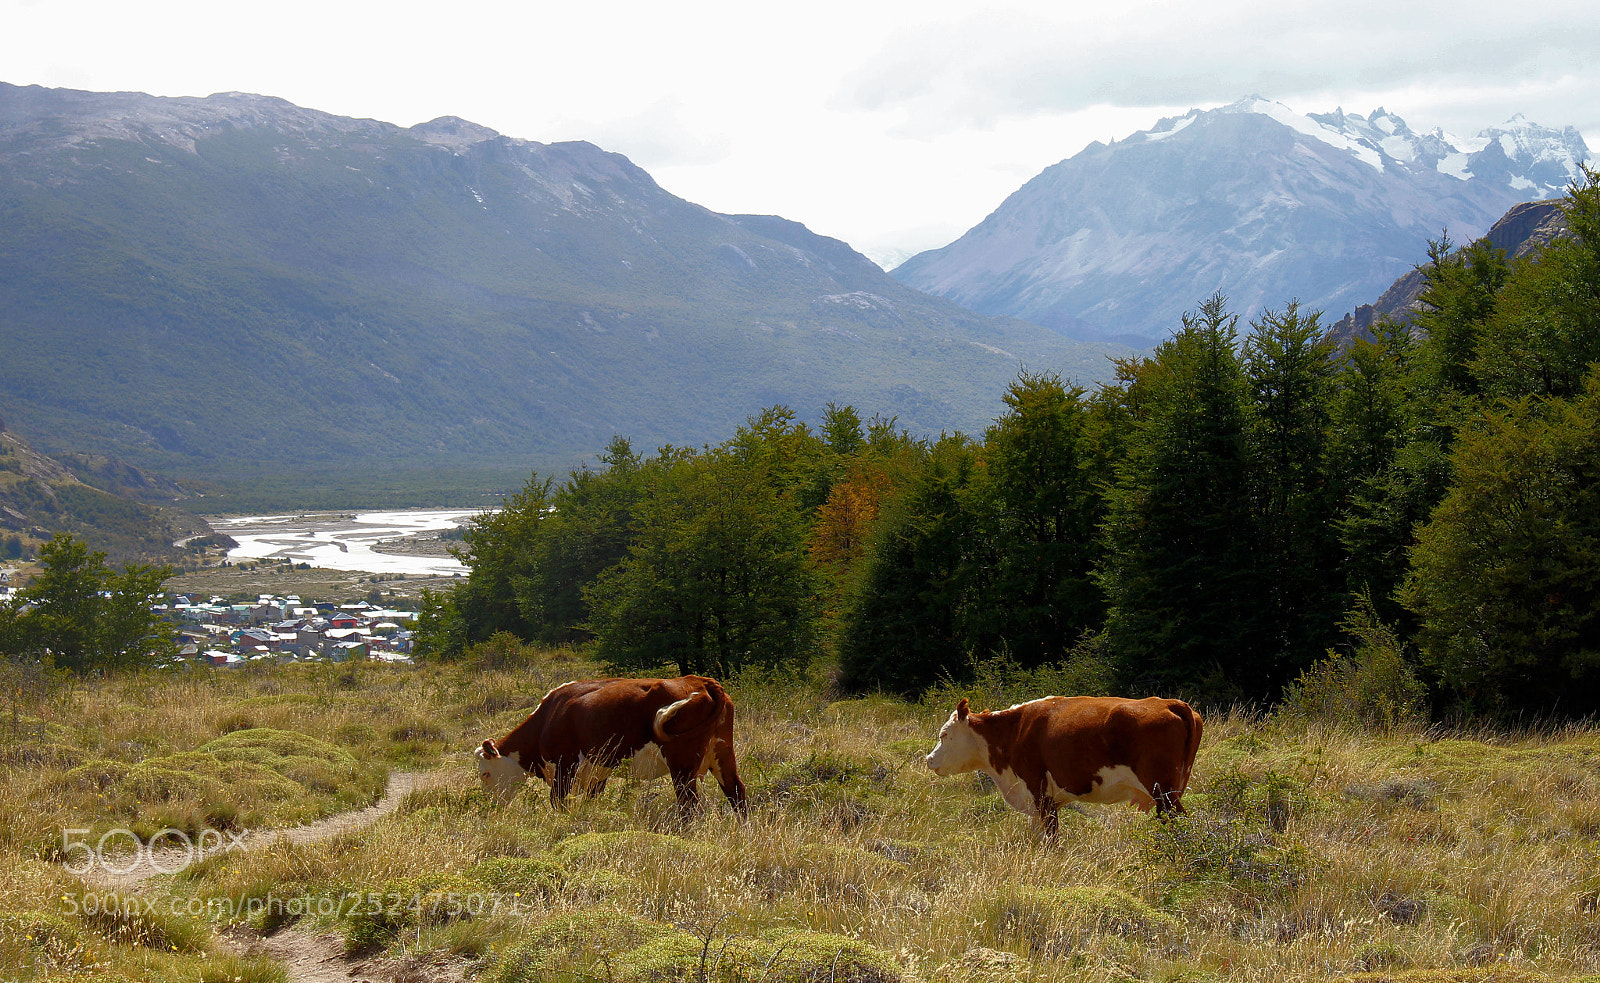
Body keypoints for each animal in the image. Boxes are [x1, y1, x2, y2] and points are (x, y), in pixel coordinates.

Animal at [473, 675, 747, 815]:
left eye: (485, 774)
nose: (490, 807)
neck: (549, 716)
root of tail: (701, 681)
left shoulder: (564, 768)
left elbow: (558, 802)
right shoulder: (598, 772)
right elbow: (591, 800)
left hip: (682, 765)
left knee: (688, 803)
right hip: (722, 753)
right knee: (736, 792)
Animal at [925, 695, 1202, 837]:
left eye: (945, 735)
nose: (929, 759)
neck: (1014, 730)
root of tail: (1167, 702)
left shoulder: (1039, 792)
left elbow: (1050, 837)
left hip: (1163, 791)